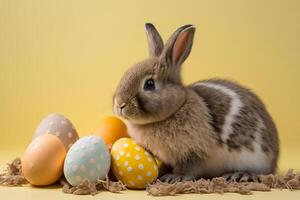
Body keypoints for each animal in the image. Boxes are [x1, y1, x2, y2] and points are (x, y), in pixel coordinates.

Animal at [112, 23, 278, 183]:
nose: (120, 105)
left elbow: (188, 168)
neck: (178, 106)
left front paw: (174, 177)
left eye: (149, 84)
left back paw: (239, 175)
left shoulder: (194, 154)